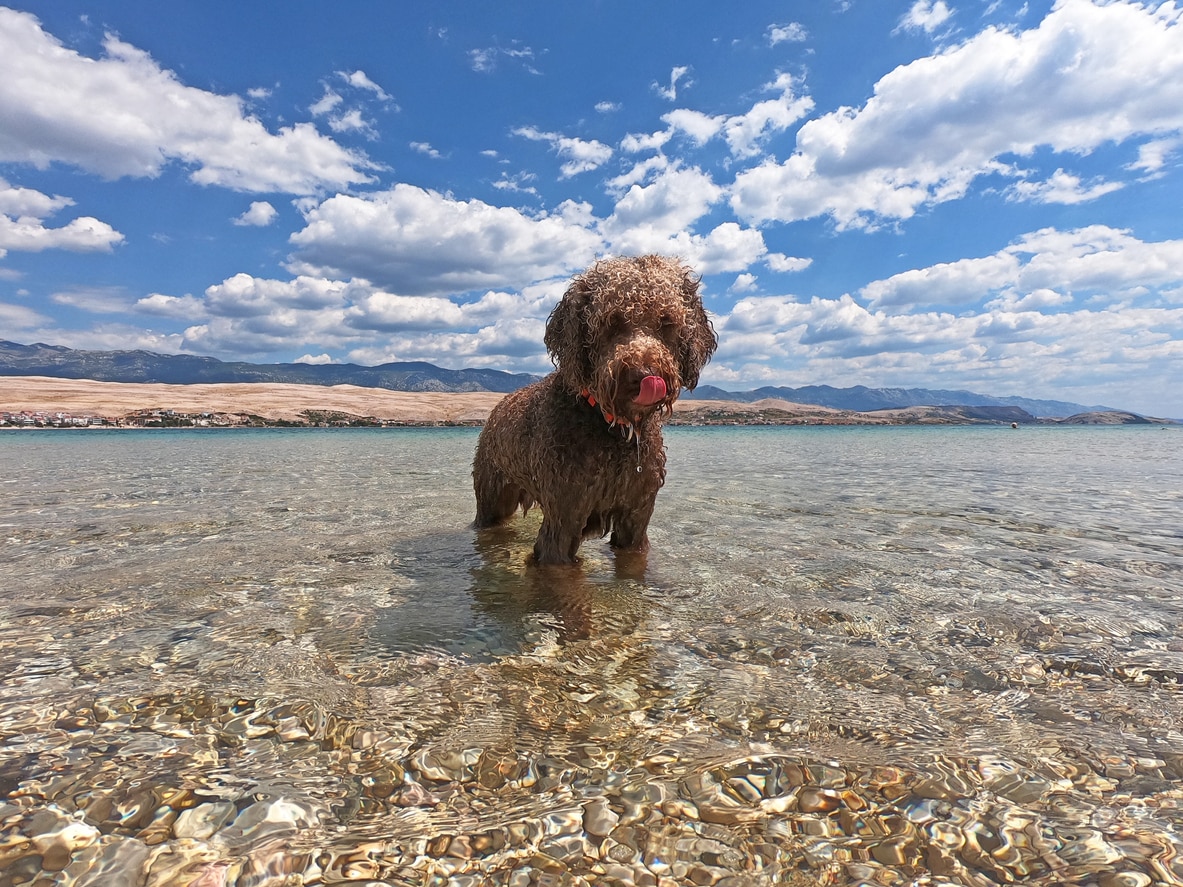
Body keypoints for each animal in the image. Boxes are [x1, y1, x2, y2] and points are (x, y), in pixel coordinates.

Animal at [473, 253, 714, 565]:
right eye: (612, 321)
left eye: (666, 322)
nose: (645, 374)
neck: (615, 429)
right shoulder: (563, 519)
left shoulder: (636, 518)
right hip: (491, 495)